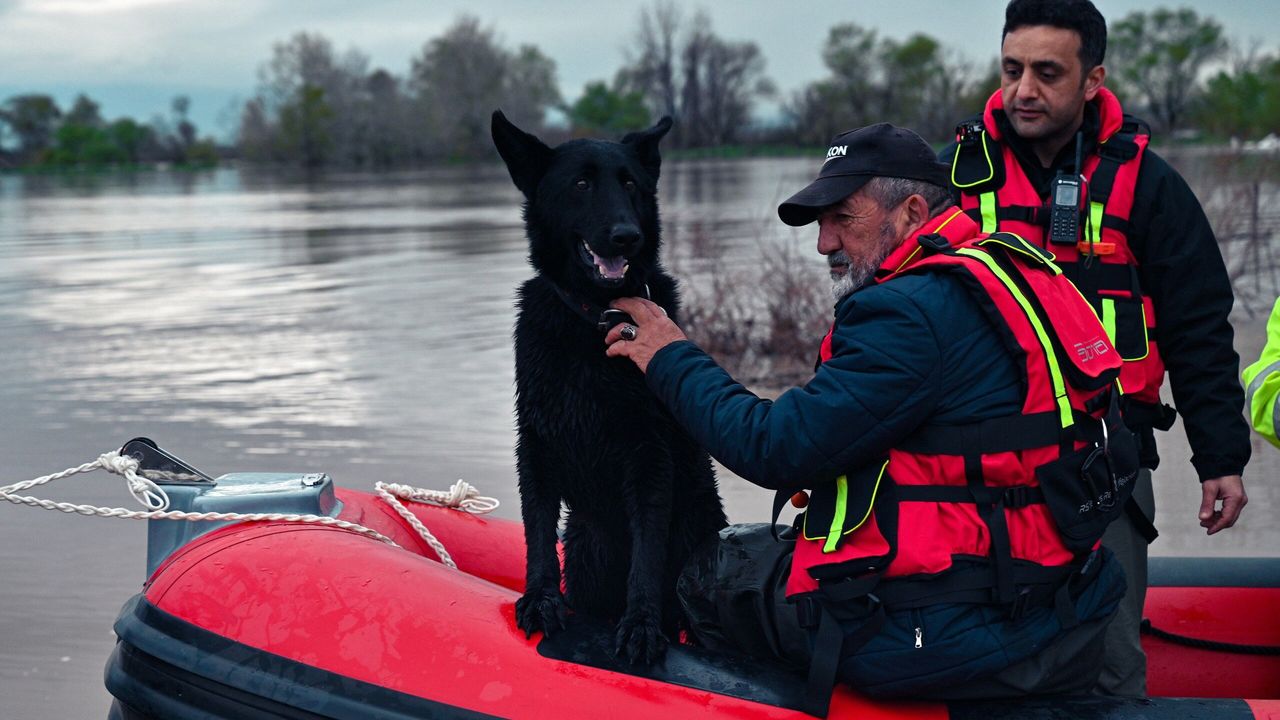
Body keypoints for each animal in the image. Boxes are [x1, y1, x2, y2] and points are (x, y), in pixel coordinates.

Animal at [491, 110, 727, 664]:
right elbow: (537, 531)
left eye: (631, 185)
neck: (594, 321)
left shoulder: (649, 455)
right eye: (580, 184)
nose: (626, 236)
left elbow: (646, 552)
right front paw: (540, 599)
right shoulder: (535, 445)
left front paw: (640, 625)